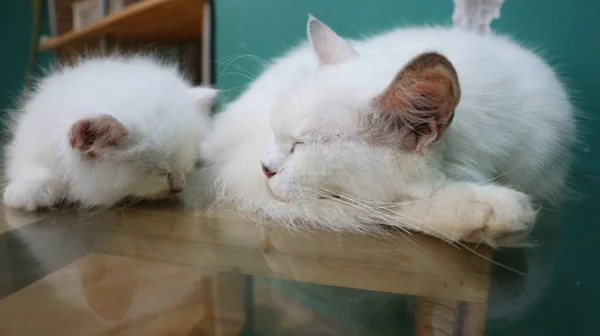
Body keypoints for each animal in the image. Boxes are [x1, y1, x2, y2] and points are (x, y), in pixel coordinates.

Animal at [2, 56, 218, 211]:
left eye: (187, 164)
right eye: (159, 171)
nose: (181, 186)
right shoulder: (31, 140)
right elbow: (32, 166)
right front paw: (30, 191)